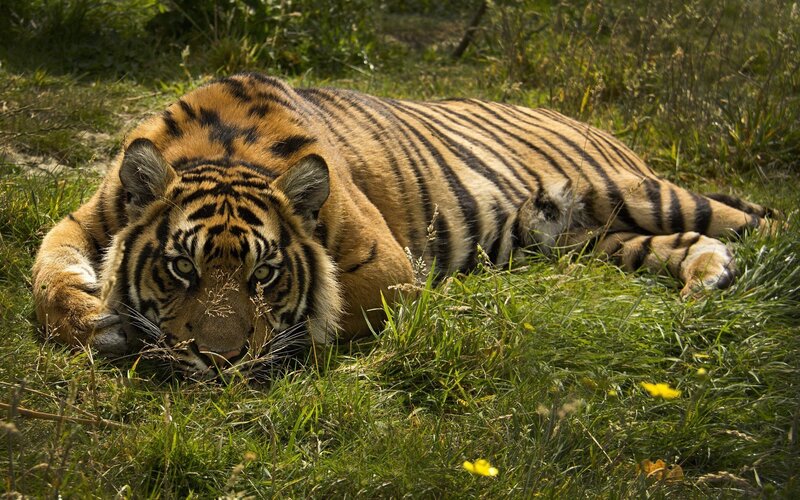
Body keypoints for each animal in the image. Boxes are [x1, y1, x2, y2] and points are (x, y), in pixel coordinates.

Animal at [32, 72, 776, 378]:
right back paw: (705, 283)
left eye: (264, 275)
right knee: (683, 243)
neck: (224, 150)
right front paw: (98, 322)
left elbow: (325, 310)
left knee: (756, 218)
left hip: (639, 192)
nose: (221, 359)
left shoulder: (384, 269)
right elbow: (47, 274)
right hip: (595, 240)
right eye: (181, 267)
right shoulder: (83, 217)